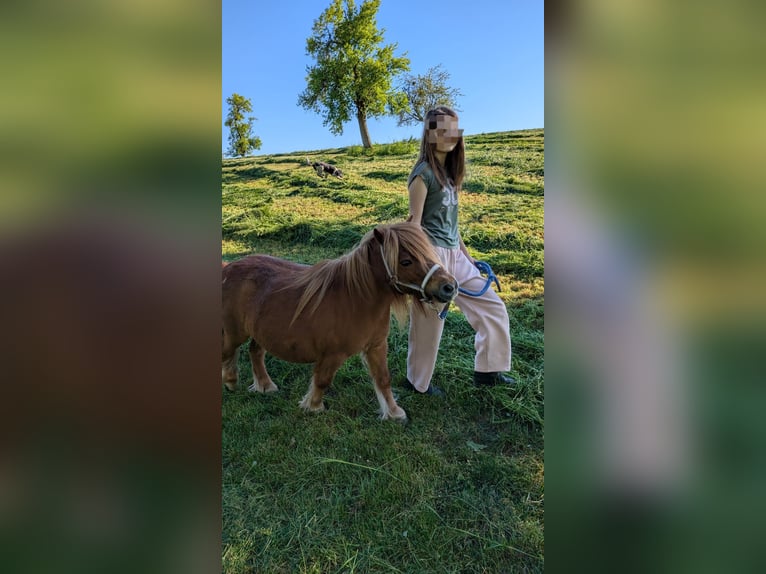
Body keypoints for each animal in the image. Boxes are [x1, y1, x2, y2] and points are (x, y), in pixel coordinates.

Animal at [221, 222, 458, 421]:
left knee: (255, 352)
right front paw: (314, 406)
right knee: (229, 352)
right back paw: (231, 382)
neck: (355, 298)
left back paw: (265, 385)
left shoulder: (376, 346)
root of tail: (228, 267)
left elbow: (383, 379)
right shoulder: (334, 354)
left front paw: (393, 412)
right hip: (235, 332)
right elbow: (323, 380)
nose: (449, 287)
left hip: (261, 332)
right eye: (406, 261)